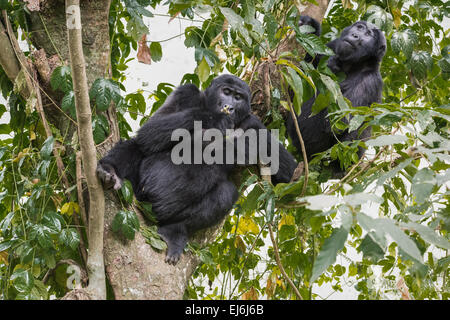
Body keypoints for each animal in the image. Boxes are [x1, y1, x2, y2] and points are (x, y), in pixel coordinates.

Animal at [96, 75, 298, 264]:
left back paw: (174, 232)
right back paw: (109, 170)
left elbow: (291, 178)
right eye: (226, 92)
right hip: (138, 194)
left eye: (238, 97)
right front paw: (218, 119)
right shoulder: (186, 91)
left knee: (225, 192)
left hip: (164, 214)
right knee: (137, 145)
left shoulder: (254, 124)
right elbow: (151, 130)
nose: (230, 106)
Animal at [288, 16, 386, 174]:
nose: (355, 35)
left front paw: (332, 65)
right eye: (359, 27)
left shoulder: (370, 81)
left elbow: (338, 123)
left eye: (368, 35)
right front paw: (310, 26)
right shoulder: (332, 46)